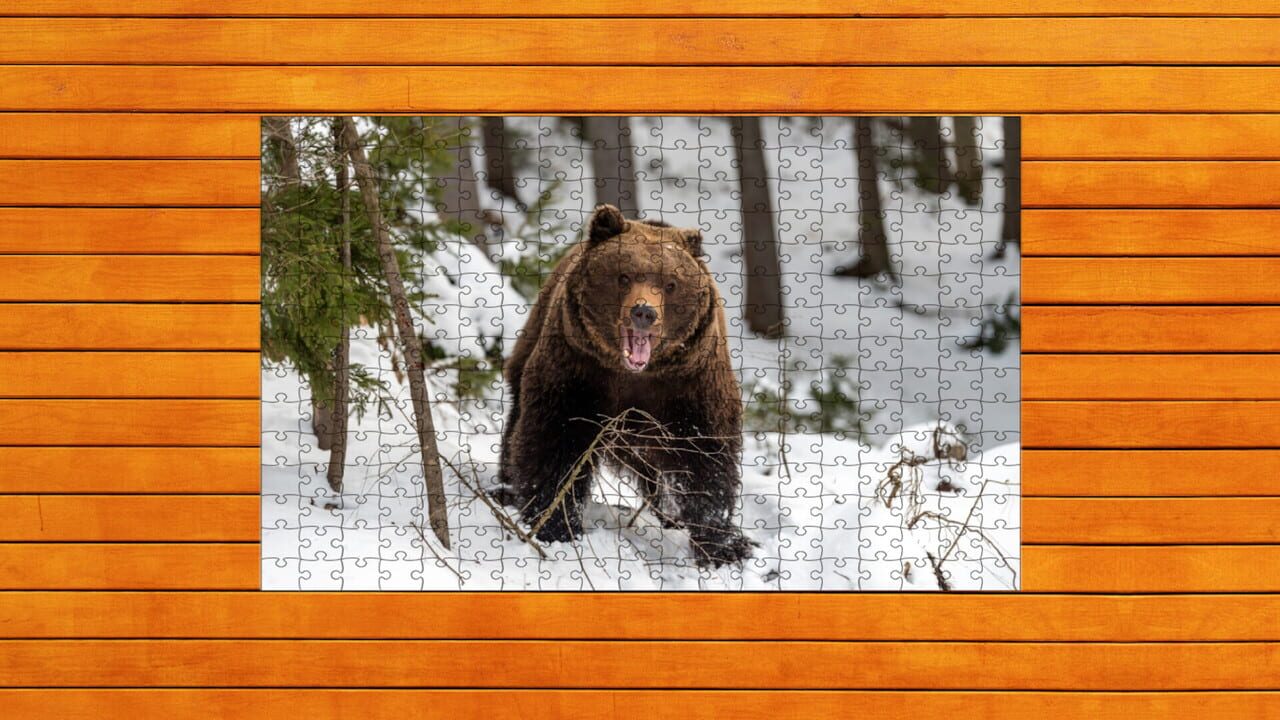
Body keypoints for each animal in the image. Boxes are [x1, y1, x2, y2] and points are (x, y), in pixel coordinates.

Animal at [499, 204, 753, 567]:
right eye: (624, 276)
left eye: (671, 283)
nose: (644, 312)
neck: (634, 374)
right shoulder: (579, 372)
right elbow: (555, 441)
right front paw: (555, 524)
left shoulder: (690, 384)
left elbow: (706, 457)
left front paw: (724, 546)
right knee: (518, 416)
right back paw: (505, 486)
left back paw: (669, 513)